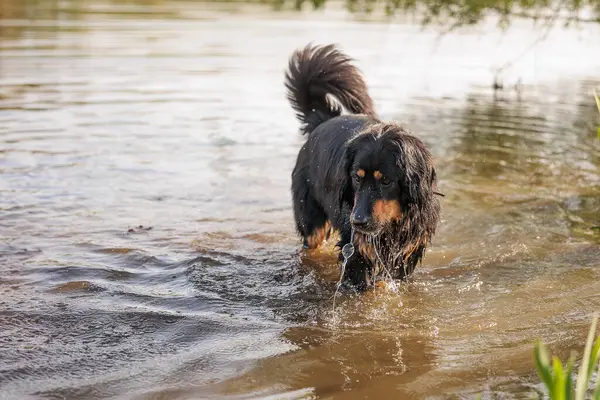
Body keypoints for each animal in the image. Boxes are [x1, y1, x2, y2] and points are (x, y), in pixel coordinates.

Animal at [286, 43, 440, 288]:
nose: (357, 221)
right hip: (310, 221)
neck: (395, 223)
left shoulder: (408, 251)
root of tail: (322, 120)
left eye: (385, 180)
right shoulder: (357, 252)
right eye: (356, 178)